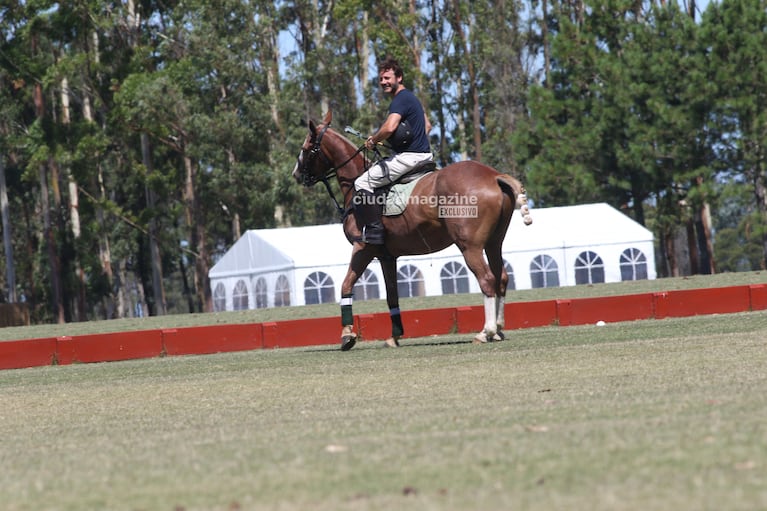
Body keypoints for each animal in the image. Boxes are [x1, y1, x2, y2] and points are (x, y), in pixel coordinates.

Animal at [292, 110, 532, 350]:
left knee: (487, 279)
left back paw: (486, 331)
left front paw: (347, 336)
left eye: (306, 147)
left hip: (469, 246)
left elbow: (345, 285)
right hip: (494, 242)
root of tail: (493, 176)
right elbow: (392, 295)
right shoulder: (386, 255)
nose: (296, 174)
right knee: (501, 277)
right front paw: (395, 336)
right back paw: (498, 329)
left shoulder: (363, 247)